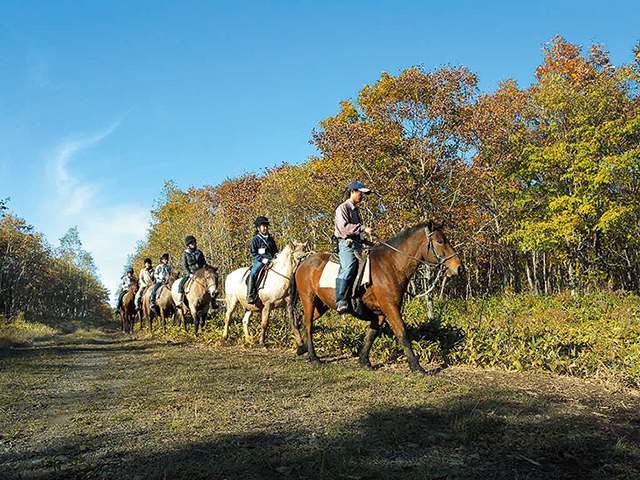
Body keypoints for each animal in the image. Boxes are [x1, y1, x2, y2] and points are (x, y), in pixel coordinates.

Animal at [288, 221, 462, 376]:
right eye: (440, 241)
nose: (459, 267)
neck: (391, 265)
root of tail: (303, 262)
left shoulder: (380, 312)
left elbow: (372, 334)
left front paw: (364, 360)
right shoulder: (390, 308)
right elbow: (403, 334)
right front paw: (416, 367)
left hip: (321, 305)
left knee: (302, 320)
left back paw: (302, 347)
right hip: (308, 299)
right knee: (308, 324)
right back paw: (313, 356)